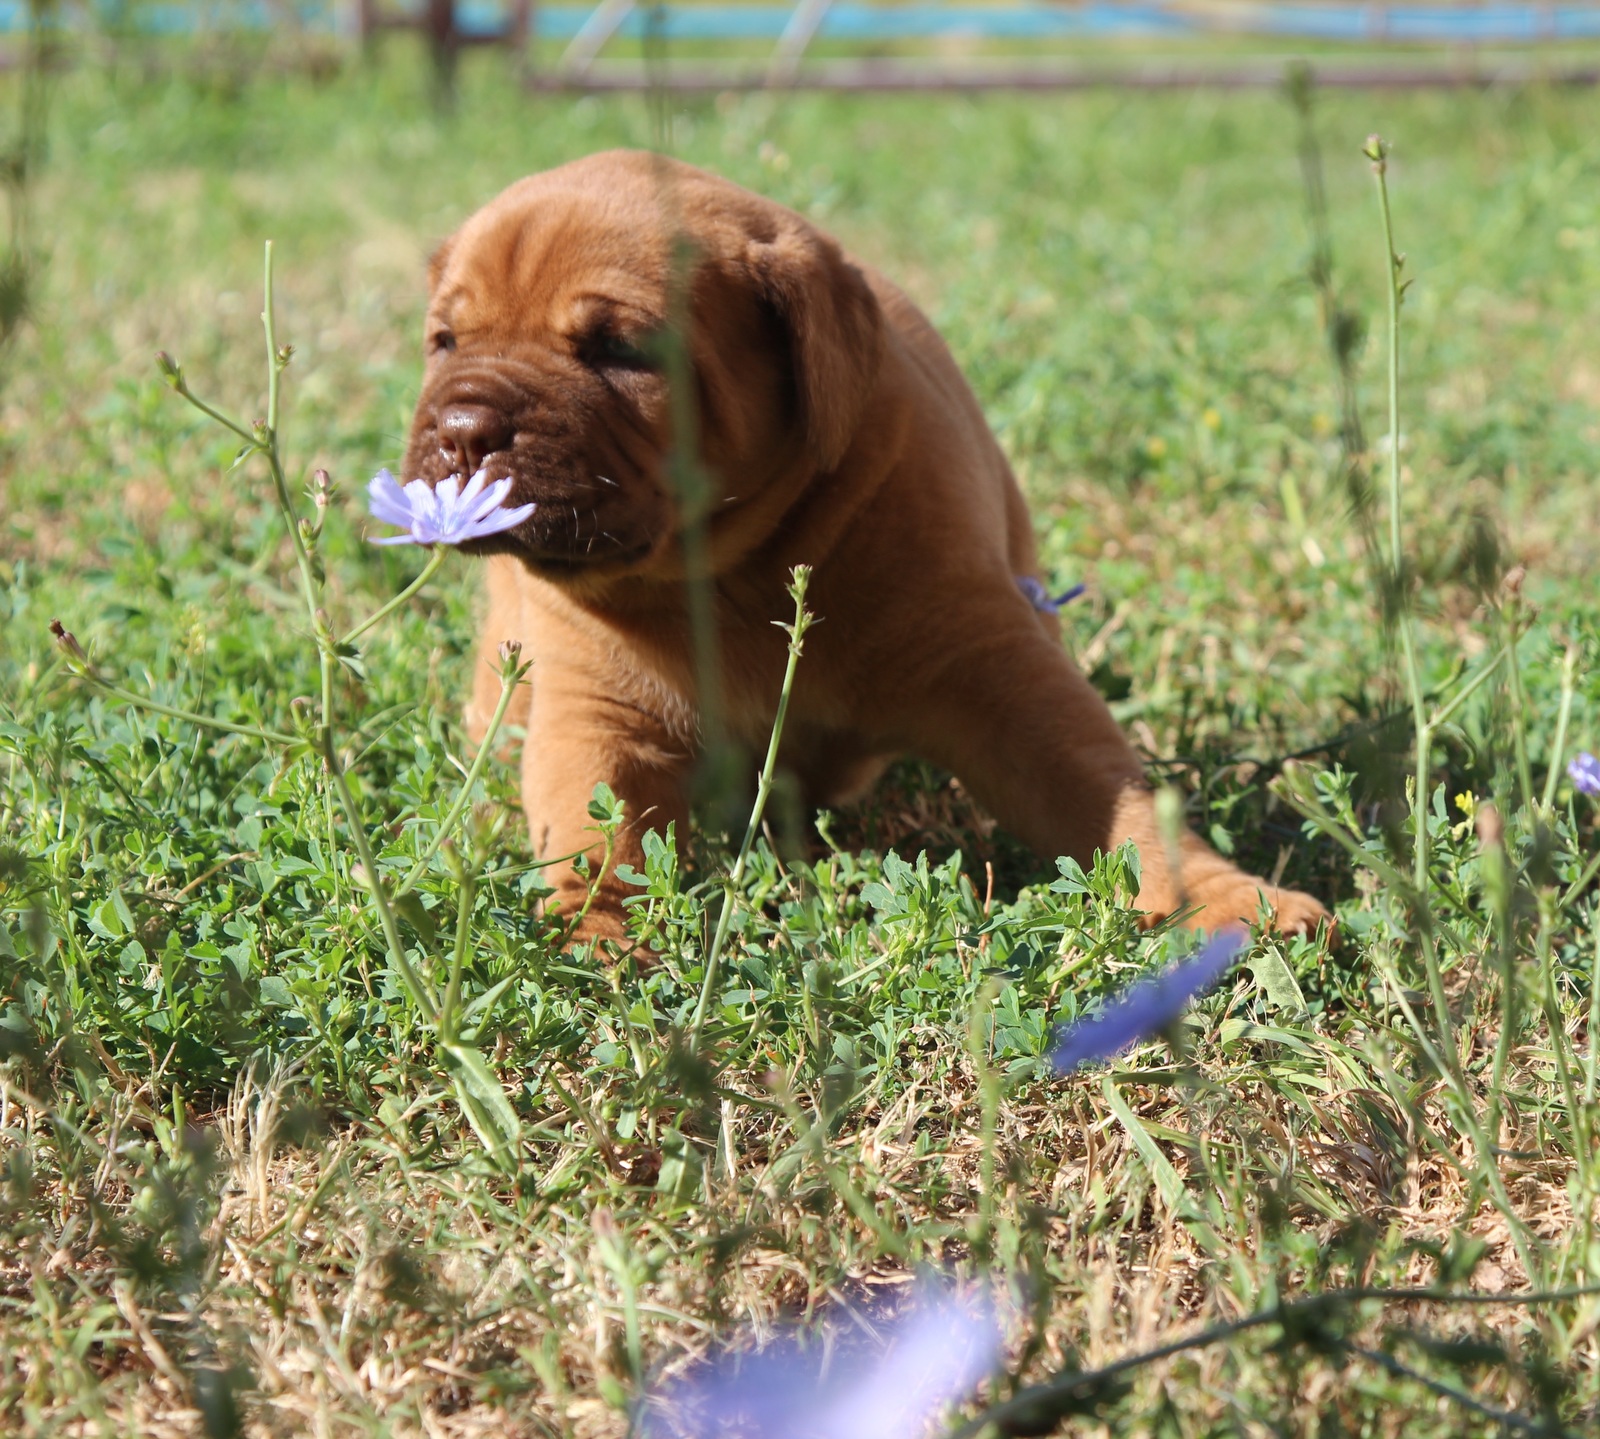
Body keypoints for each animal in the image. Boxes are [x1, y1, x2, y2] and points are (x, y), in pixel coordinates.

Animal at [406, 152, 1331, 947]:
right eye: (444, 341)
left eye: (619, 350)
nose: (462, 428)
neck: (727, 570)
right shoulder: (595, 713)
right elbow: (599, 840)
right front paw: (597, 942)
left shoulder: (1001, 675)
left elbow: (1121, 801)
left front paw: (1223, 898)